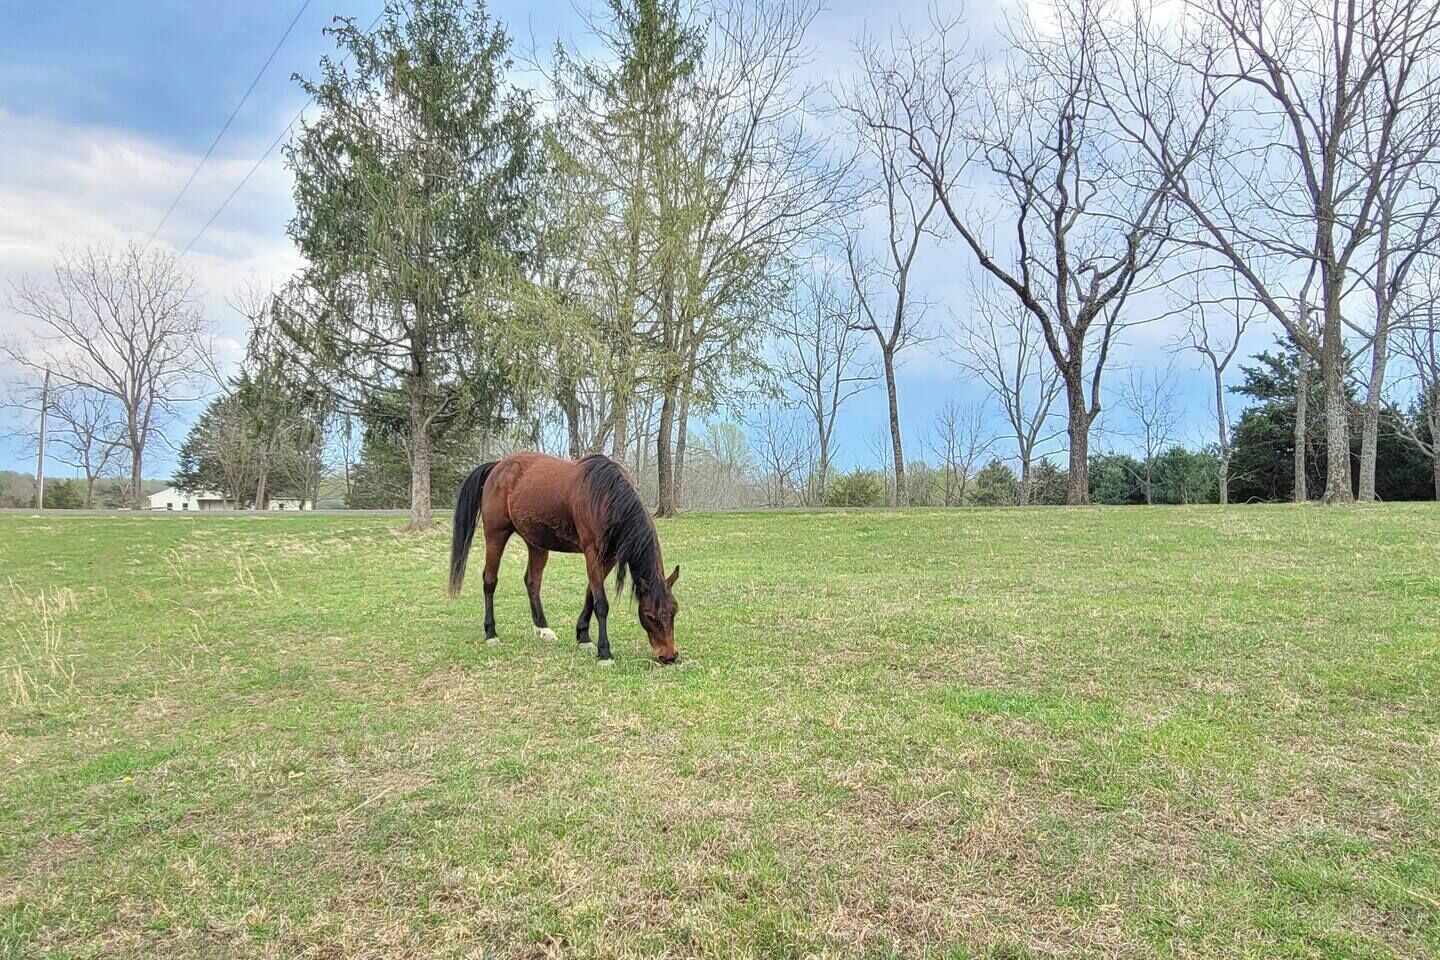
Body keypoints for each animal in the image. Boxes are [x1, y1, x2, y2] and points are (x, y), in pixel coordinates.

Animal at [448, 452, 680, 666]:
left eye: (674, 611)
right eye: (649, 615)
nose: (669, 656)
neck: (605, 495)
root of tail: (497, 466)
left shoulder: (610, 557)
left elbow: (590, 594)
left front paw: (584, 637)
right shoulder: (592, 552)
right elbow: (601, 603)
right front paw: (604, 652)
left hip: (537, 544)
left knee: (532, 582)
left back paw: (543, 629)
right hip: (496, 535)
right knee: (490, 581)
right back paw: (491, 634)